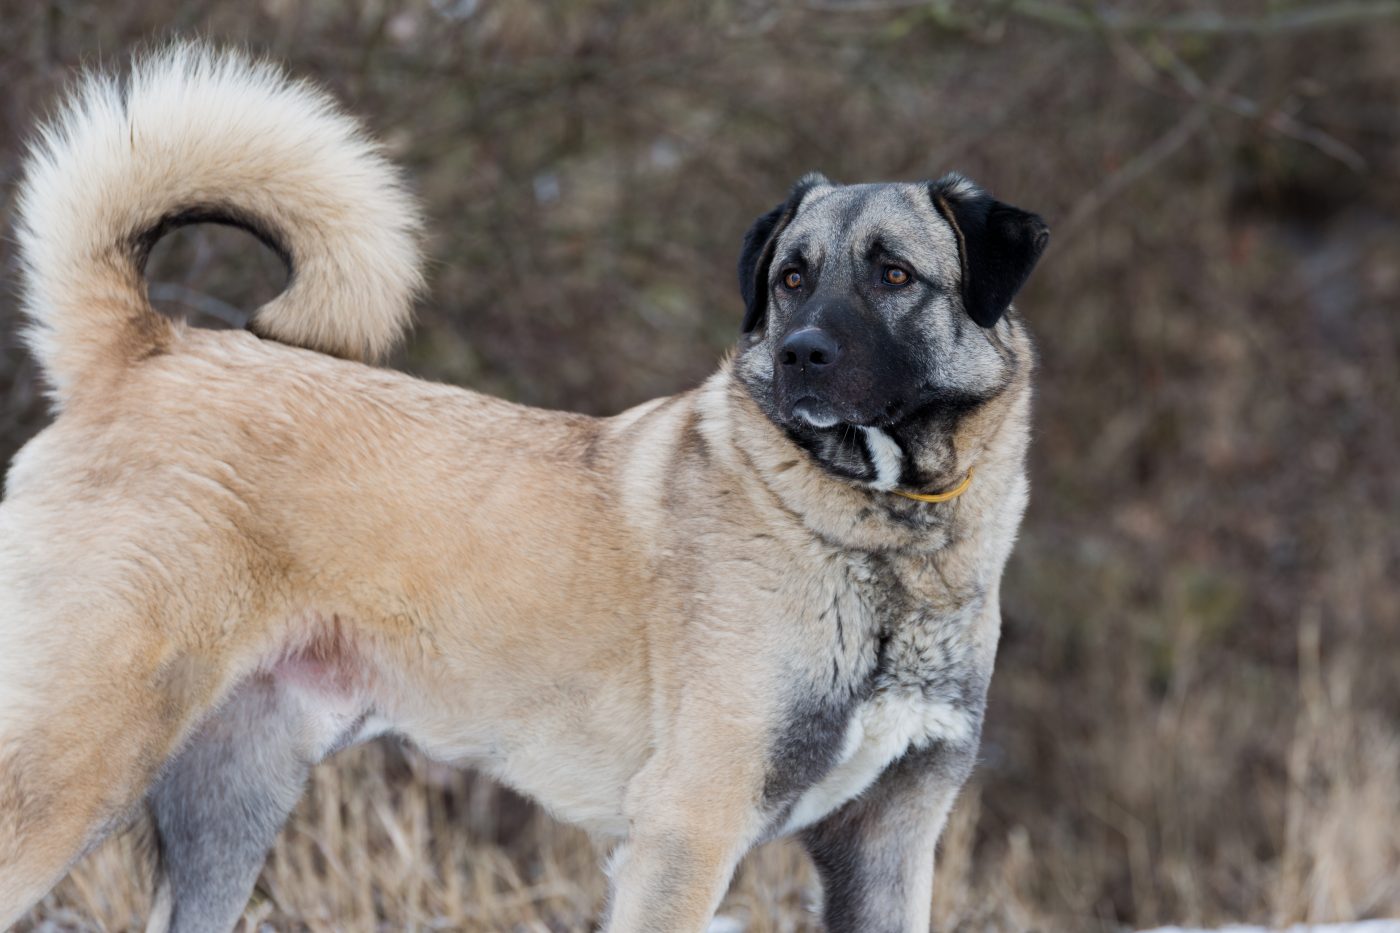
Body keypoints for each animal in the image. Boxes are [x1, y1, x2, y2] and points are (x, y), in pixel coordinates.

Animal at [0, 43, 1052, 930]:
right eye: (792, 277)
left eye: (894, 274)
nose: (799, 354)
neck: (884, 541)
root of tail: (146, 349)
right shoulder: (688, 828)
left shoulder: (888, 842)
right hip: (75, 761)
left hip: (228, 805)